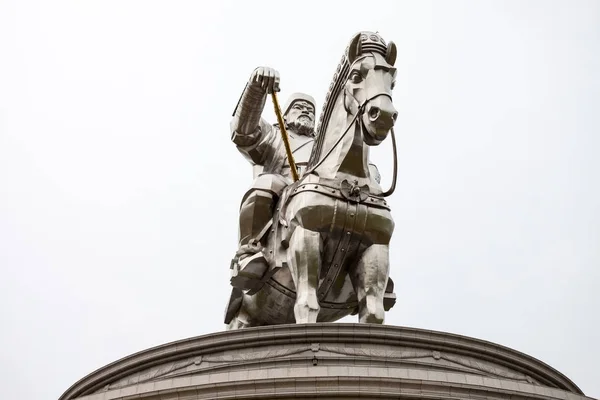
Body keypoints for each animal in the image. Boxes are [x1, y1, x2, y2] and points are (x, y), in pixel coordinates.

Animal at [226, 32, 398, 330]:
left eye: (393, 80)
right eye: (356, 75)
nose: (383, 116)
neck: (349, 183)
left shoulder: (375, 247)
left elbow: (373, 313)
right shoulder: (306, 235)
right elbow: (247, 135)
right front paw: (263, 74)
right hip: (242, 314)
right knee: (264, 184)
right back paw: (249, 259)